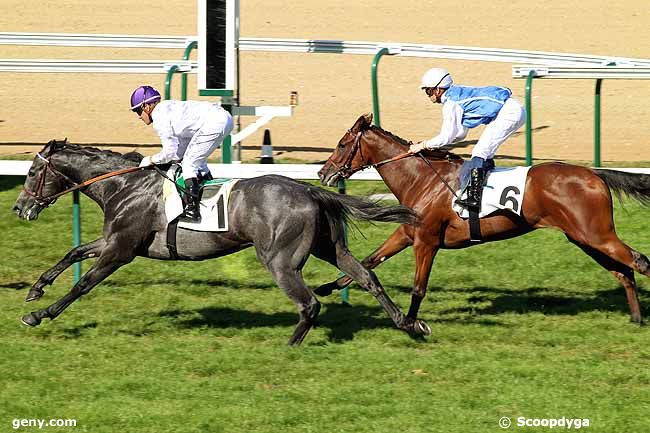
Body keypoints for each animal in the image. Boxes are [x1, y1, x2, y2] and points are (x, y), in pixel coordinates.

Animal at [12, 139, 428, 344]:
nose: (19, 208)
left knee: (309, 303)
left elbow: (83, 283)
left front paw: (39, 314)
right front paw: (35, 290)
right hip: (330, 247)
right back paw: (409, 325)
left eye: (32, 172)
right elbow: (74, 252)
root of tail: (310, 190)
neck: (125, 184)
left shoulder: (121, 249)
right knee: (367, 277)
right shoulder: (114, 240)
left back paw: (289, 346)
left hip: (280, 260)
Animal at [316, 113, 648, 326]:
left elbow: (418, 286)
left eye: (343, 144)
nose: (323, 172)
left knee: (639, 261)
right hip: (584, 238)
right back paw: (635, 317)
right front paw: (326, 288)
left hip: (597, 235)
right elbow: (369, 261)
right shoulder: (408, 233)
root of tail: (594, 173)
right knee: (624, 272)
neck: (422, 178)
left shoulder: (426, 241)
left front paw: (411, 323)